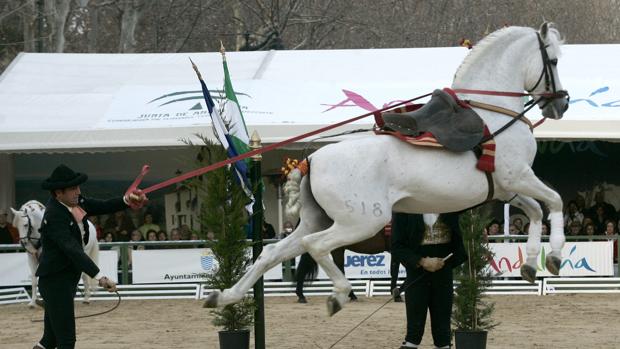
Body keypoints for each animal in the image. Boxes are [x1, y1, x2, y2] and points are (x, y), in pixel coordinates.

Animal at [206, 23, 568, 314]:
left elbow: (536, 211)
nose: (561, 104)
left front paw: (531, 265)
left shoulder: (507, 189)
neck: (492, 113)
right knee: (317, 247)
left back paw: (225, 296)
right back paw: (339, 295)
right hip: (360, 222)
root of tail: (313, 159)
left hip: (315, 220)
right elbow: (555, 201)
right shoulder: (518, 176)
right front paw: (554, 256)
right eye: (553, 61)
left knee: (271, 253)